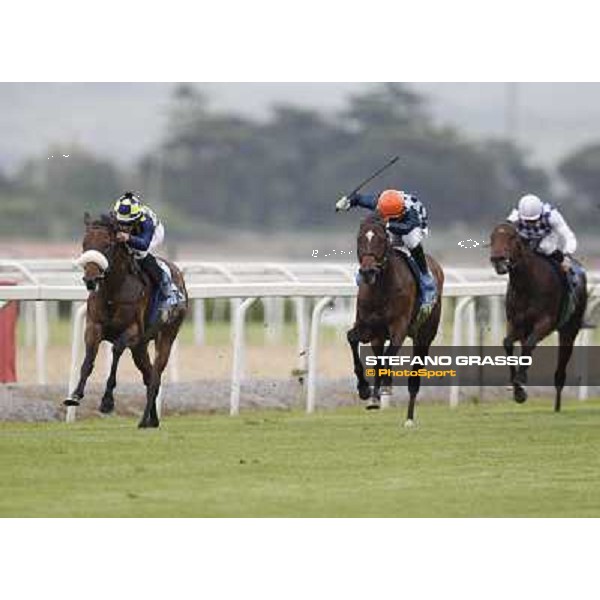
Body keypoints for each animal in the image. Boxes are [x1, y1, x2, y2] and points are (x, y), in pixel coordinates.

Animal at [66, 213, 189, 428]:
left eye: (107, 245)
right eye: (84, 243)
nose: (90, 279)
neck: (113, 290)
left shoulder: (133, 332)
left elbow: (116, 351)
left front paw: (107, 402)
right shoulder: (94, 327)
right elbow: (88, 359)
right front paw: (75, 395)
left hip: (166, 336)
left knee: (155, 376)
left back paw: (144, 419)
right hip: (140, 347)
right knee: (148, 376)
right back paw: (151, 420)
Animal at [346, 212, 446, 426]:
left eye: (382, 239)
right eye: (359, 239)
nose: (367, 272)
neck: (381, 288)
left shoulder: (399, 327)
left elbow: (388, 355)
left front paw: (385, 386)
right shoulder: (367, 326)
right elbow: (352, 339)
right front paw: (364, 389)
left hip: (424, 336)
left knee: (414, 378)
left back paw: (409, 418)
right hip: (378, 337)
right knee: (377, 358)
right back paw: (375, 397)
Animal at [490, 221, 584, 412]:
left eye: (512, 237)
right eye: (492, 237)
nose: (498, 259)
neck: (527, 285)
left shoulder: (545, 322)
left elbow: (530, 344)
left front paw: (520, 380)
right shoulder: (515, 323)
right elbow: (508, 343)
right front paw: (518, 390)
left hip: (569, 330)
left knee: (561, 368)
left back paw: (557, 405)